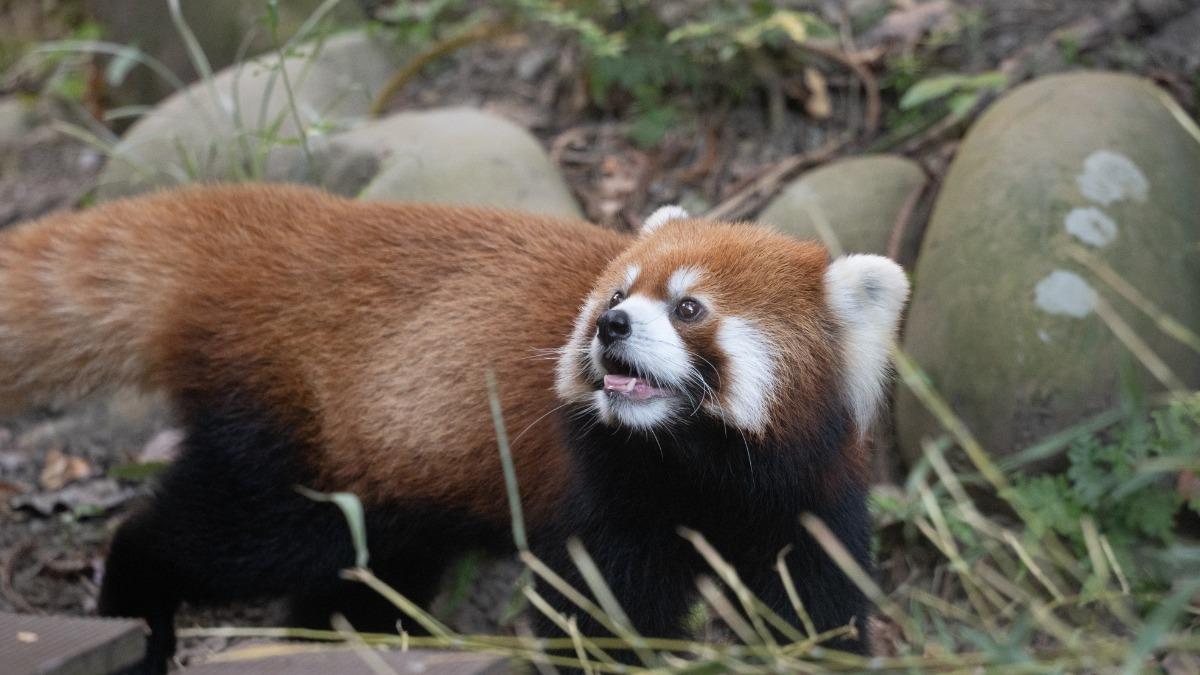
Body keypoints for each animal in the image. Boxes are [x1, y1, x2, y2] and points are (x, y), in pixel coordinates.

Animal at [0, 182, 902, 667]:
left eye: (688, 308)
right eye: (617, 295)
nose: (611, 326)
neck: (695, 464)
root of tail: (265, 237)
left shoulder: (806, 490)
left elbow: (815, 605)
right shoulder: (603, 491)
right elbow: (597, 609)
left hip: (388, 483)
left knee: (360, 571)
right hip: (296, 444)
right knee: (211, 532)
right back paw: (135, 619)